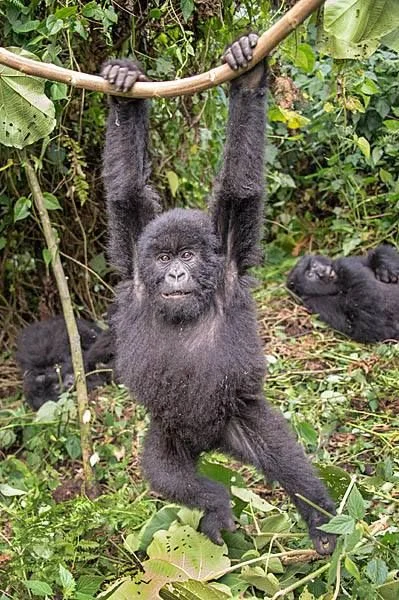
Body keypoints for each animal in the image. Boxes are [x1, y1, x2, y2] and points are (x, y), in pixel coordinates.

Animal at [101, 35, 338, 556]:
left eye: (189, 254)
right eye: (163, 258)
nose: (175, 274)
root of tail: (210, 444)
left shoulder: (228, 257)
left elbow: (239, 188)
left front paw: (247, 76)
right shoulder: (135, 264)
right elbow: (126, 194)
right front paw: (124, 91)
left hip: (238, 417)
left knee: (284, 459)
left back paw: (322, 523)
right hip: (168, 436)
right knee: (170, 476)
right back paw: (214, 506)